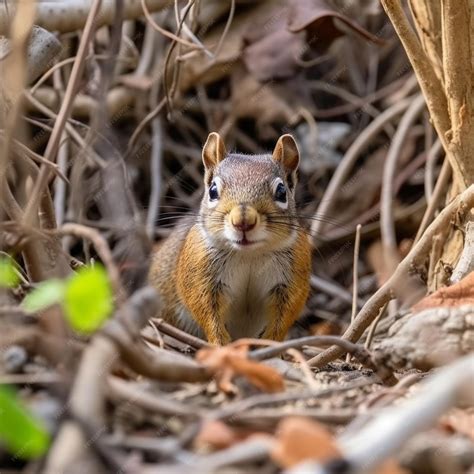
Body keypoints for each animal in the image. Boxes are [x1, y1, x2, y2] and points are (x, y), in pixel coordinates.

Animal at [148, 132, 312, 344]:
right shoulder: (200, 275)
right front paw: (220, 342)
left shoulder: (292, 279)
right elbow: (206, 311)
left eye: (282, 192)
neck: (249, 255)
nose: (243, 220)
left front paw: (269, 342)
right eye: (212, 190)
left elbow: (284, 316)